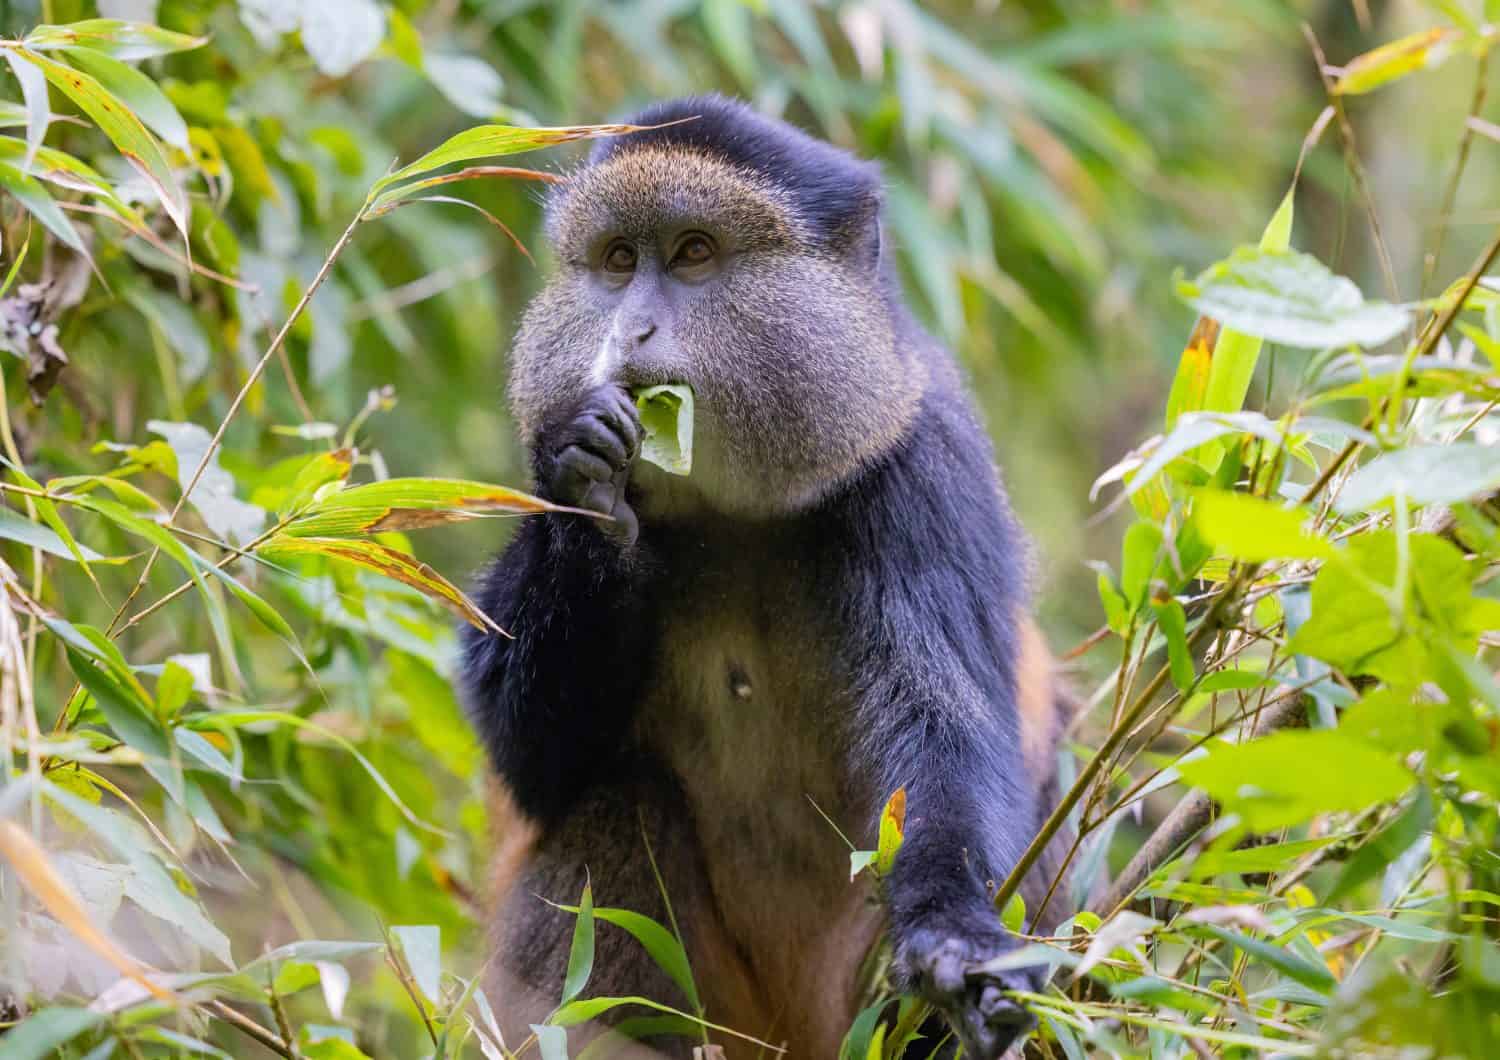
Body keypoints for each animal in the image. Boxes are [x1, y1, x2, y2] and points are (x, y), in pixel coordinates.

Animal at [460, 96, 1074, 1059]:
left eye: (693, 254)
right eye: (619, 261)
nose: (630, 331)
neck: (733, 512)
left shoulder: (923, 464)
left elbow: (948, 739)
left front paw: (957, 943)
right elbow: (536, 766)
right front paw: (583, 471)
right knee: (615, 805)